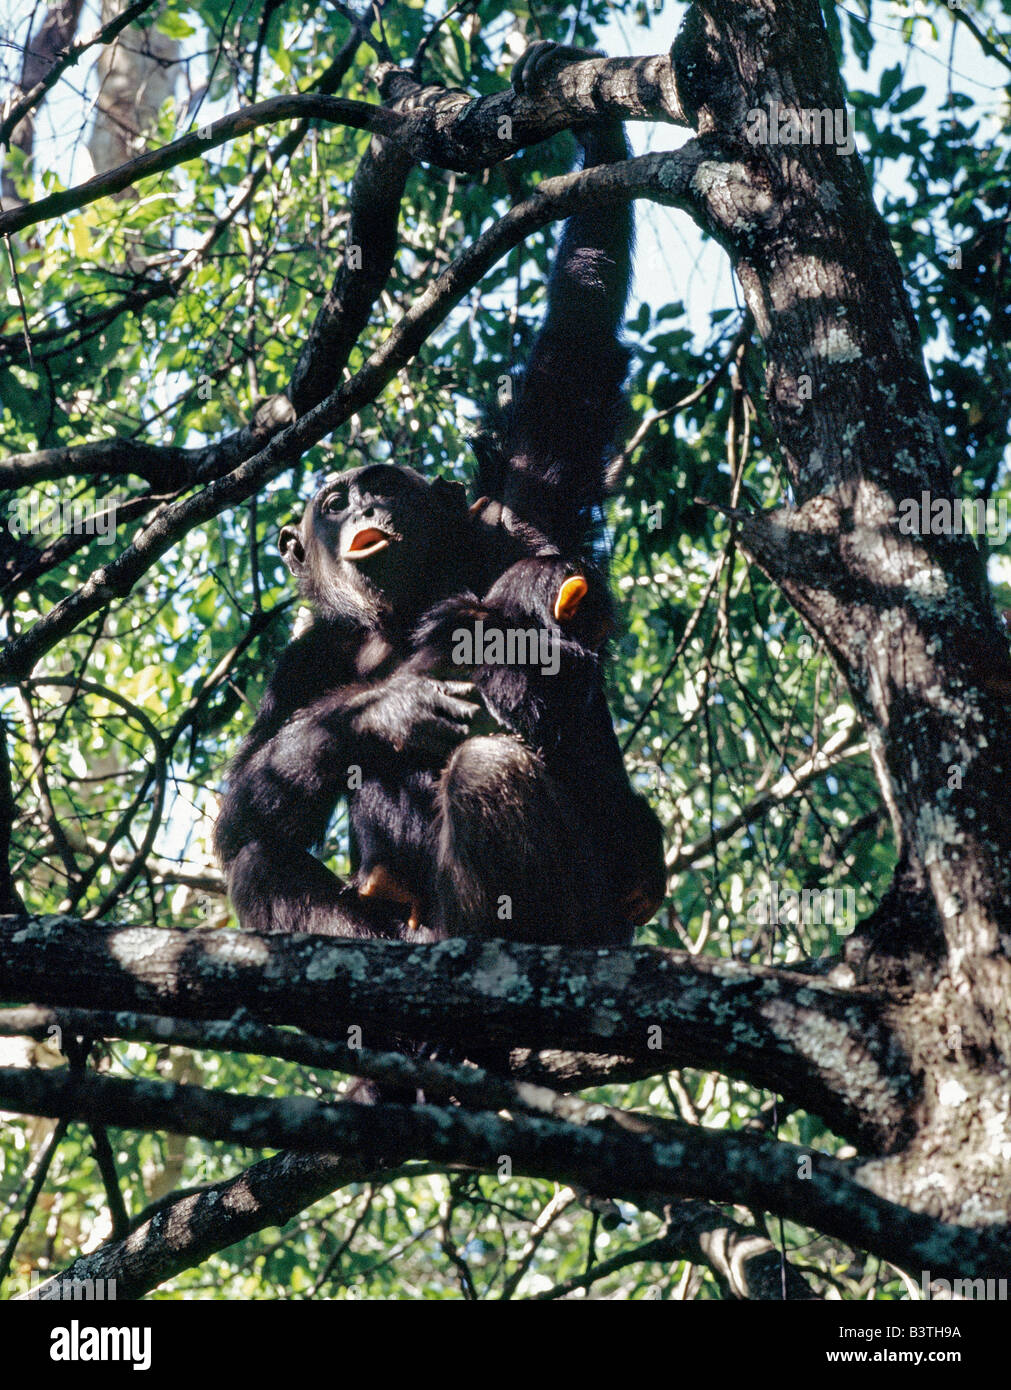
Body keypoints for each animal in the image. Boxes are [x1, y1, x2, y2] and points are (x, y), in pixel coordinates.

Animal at [214, 46, 664, 945]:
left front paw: (593, 127)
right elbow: (245, 804)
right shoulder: (304, 660)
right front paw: (389, 711)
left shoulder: (518, 518)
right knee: (257, 858)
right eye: (334, 503)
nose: (363, 508)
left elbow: (572, 354)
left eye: (382, 485)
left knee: (488, 767)